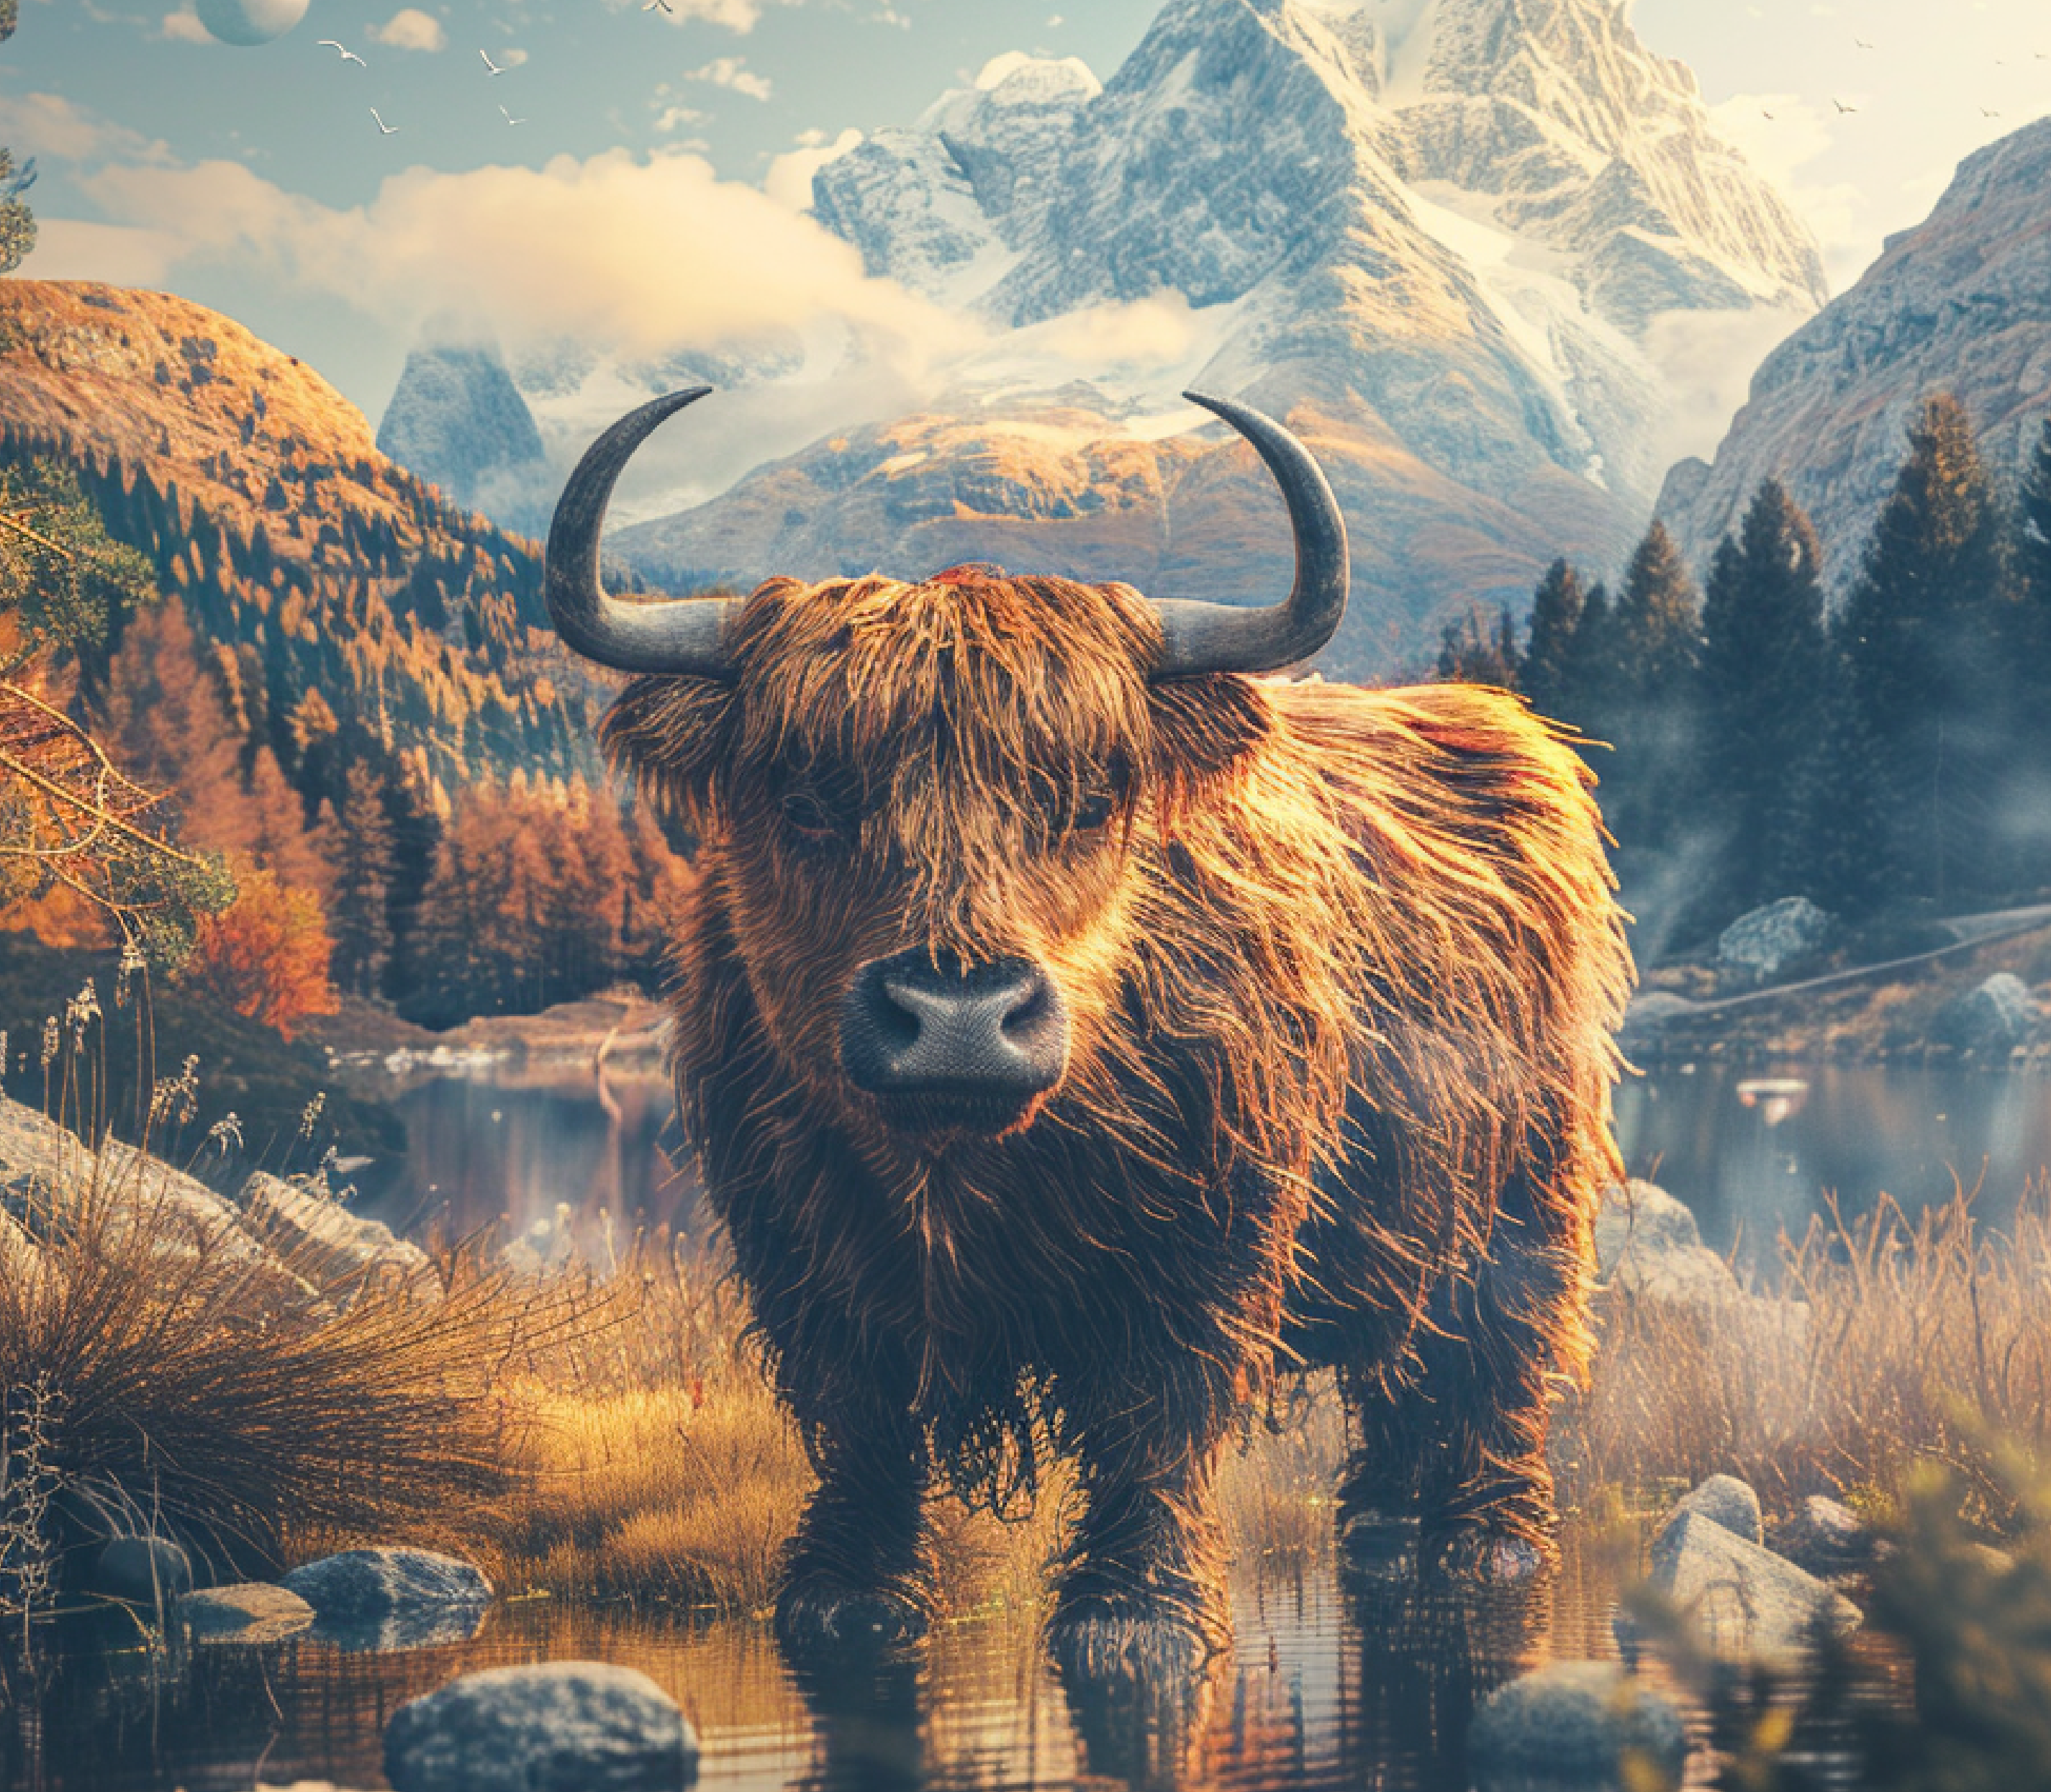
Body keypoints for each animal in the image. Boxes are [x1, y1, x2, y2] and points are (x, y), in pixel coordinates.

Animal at [543, 387, 1633, 1677]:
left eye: (1091, 799)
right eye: (805, 800)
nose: (956, 1022)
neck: (962, 1172)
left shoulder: (1211, 1231)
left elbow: (1157, 1412)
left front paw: (1137, 1617)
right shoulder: (800, 1239)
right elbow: (856, 1418)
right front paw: (842, 1598)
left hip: (1527, 1202)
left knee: (1496, 1370)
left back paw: (1485, 1545)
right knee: (1401, 1382)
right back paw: (1376, 1530)